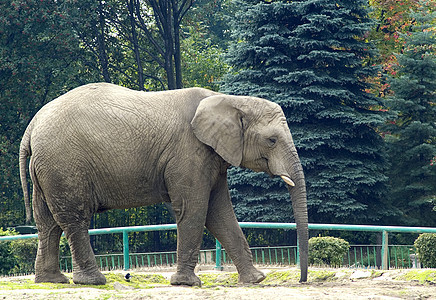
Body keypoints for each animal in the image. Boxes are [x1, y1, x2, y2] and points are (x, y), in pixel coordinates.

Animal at [18, 82, 308, 286]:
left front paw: (256, 280)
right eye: (272, 140)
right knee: (74, 218)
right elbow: (195, 208)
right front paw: (187, 284)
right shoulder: (189, 153)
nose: (301, 279)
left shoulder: (211, 157)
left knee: (48, 223)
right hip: (64, 163)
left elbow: (219, 212)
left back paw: (52, 281)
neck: (231, 100)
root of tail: (31, 127)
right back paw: (93, 281)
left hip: (47, 167)